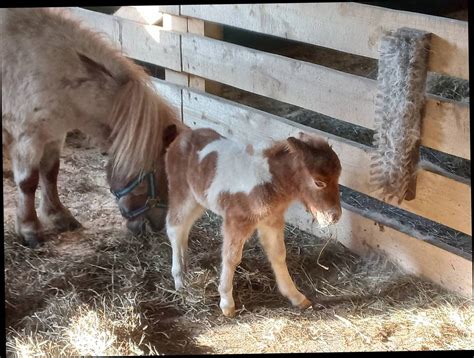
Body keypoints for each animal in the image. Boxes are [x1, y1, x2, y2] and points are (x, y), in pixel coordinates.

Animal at [1, 7, 185, 246]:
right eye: (161, 176)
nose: (156, 225)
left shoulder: (54, 134)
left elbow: (50, 173)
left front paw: (58, 215)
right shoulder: (27, 138)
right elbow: (28, 183)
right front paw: (29, 228)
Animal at [164, 128, 340, 316]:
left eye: (338, 178)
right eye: (318, 182)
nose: (335, 216)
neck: (270, 181)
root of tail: (182, 136)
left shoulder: (271, 221)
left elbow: (278, 254)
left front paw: (296, 296)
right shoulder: (236, 221)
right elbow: (231, 257)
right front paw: (226, 303)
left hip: (199, 201)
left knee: (185, 229)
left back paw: (185, 267)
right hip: (182, 194)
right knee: (174, 228)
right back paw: (179, 280)